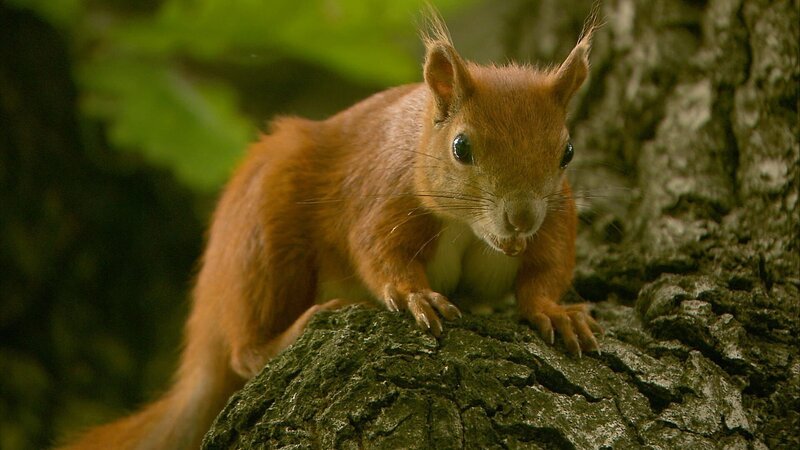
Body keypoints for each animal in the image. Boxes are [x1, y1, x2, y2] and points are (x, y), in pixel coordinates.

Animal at [58, 10, 602, 450]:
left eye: (567, 152)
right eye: (461, 147)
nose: (520, 219)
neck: (470, 228)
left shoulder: (556, 219)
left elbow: (548, 270)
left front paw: (556, 312)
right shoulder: (382, 196)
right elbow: (378, 252)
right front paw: (415, 295)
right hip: (263, 241)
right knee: (243, 353)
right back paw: (293, 329)